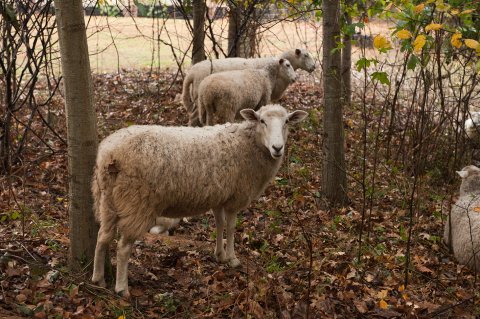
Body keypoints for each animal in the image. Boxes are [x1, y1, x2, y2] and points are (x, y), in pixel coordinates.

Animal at [90, 104, 308, 298]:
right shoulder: (235, 197)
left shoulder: (220, 197)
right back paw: (122, 289)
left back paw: (98, 279)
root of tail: (110, 154)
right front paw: (232, 258)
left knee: (103, 236)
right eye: (262, 121)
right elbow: (231, 226)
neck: (248, 143)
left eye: (287, 122)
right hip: (136, 201)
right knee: (123, 247)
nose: (278, 148)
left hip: (106, 199)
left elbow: (219, 224)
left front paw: (219, 255)